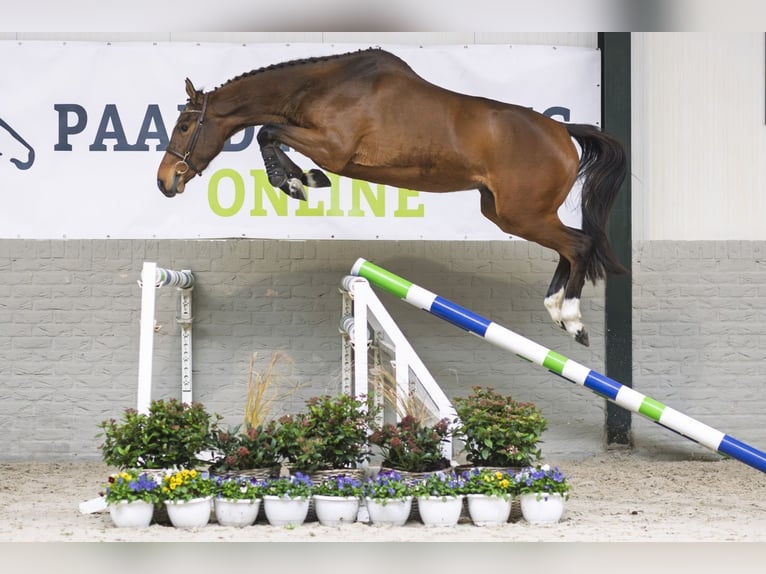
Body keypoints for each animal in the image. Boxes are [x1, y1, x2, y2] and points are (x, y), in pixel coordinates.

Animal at [158, 48, 632, 346]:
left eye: (184, 125)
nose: (165, 182)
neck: (323, 88)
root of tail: (562, 131)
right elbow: (269, 133)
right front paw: (300, 180)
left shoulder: (333, 148)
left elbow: (268, 131)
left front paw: (299, 181)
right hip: (505, 213)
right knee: (568, 246)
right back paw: (556, 309)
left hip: (524, 214)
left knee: (579, 244)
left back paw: (572, 319)